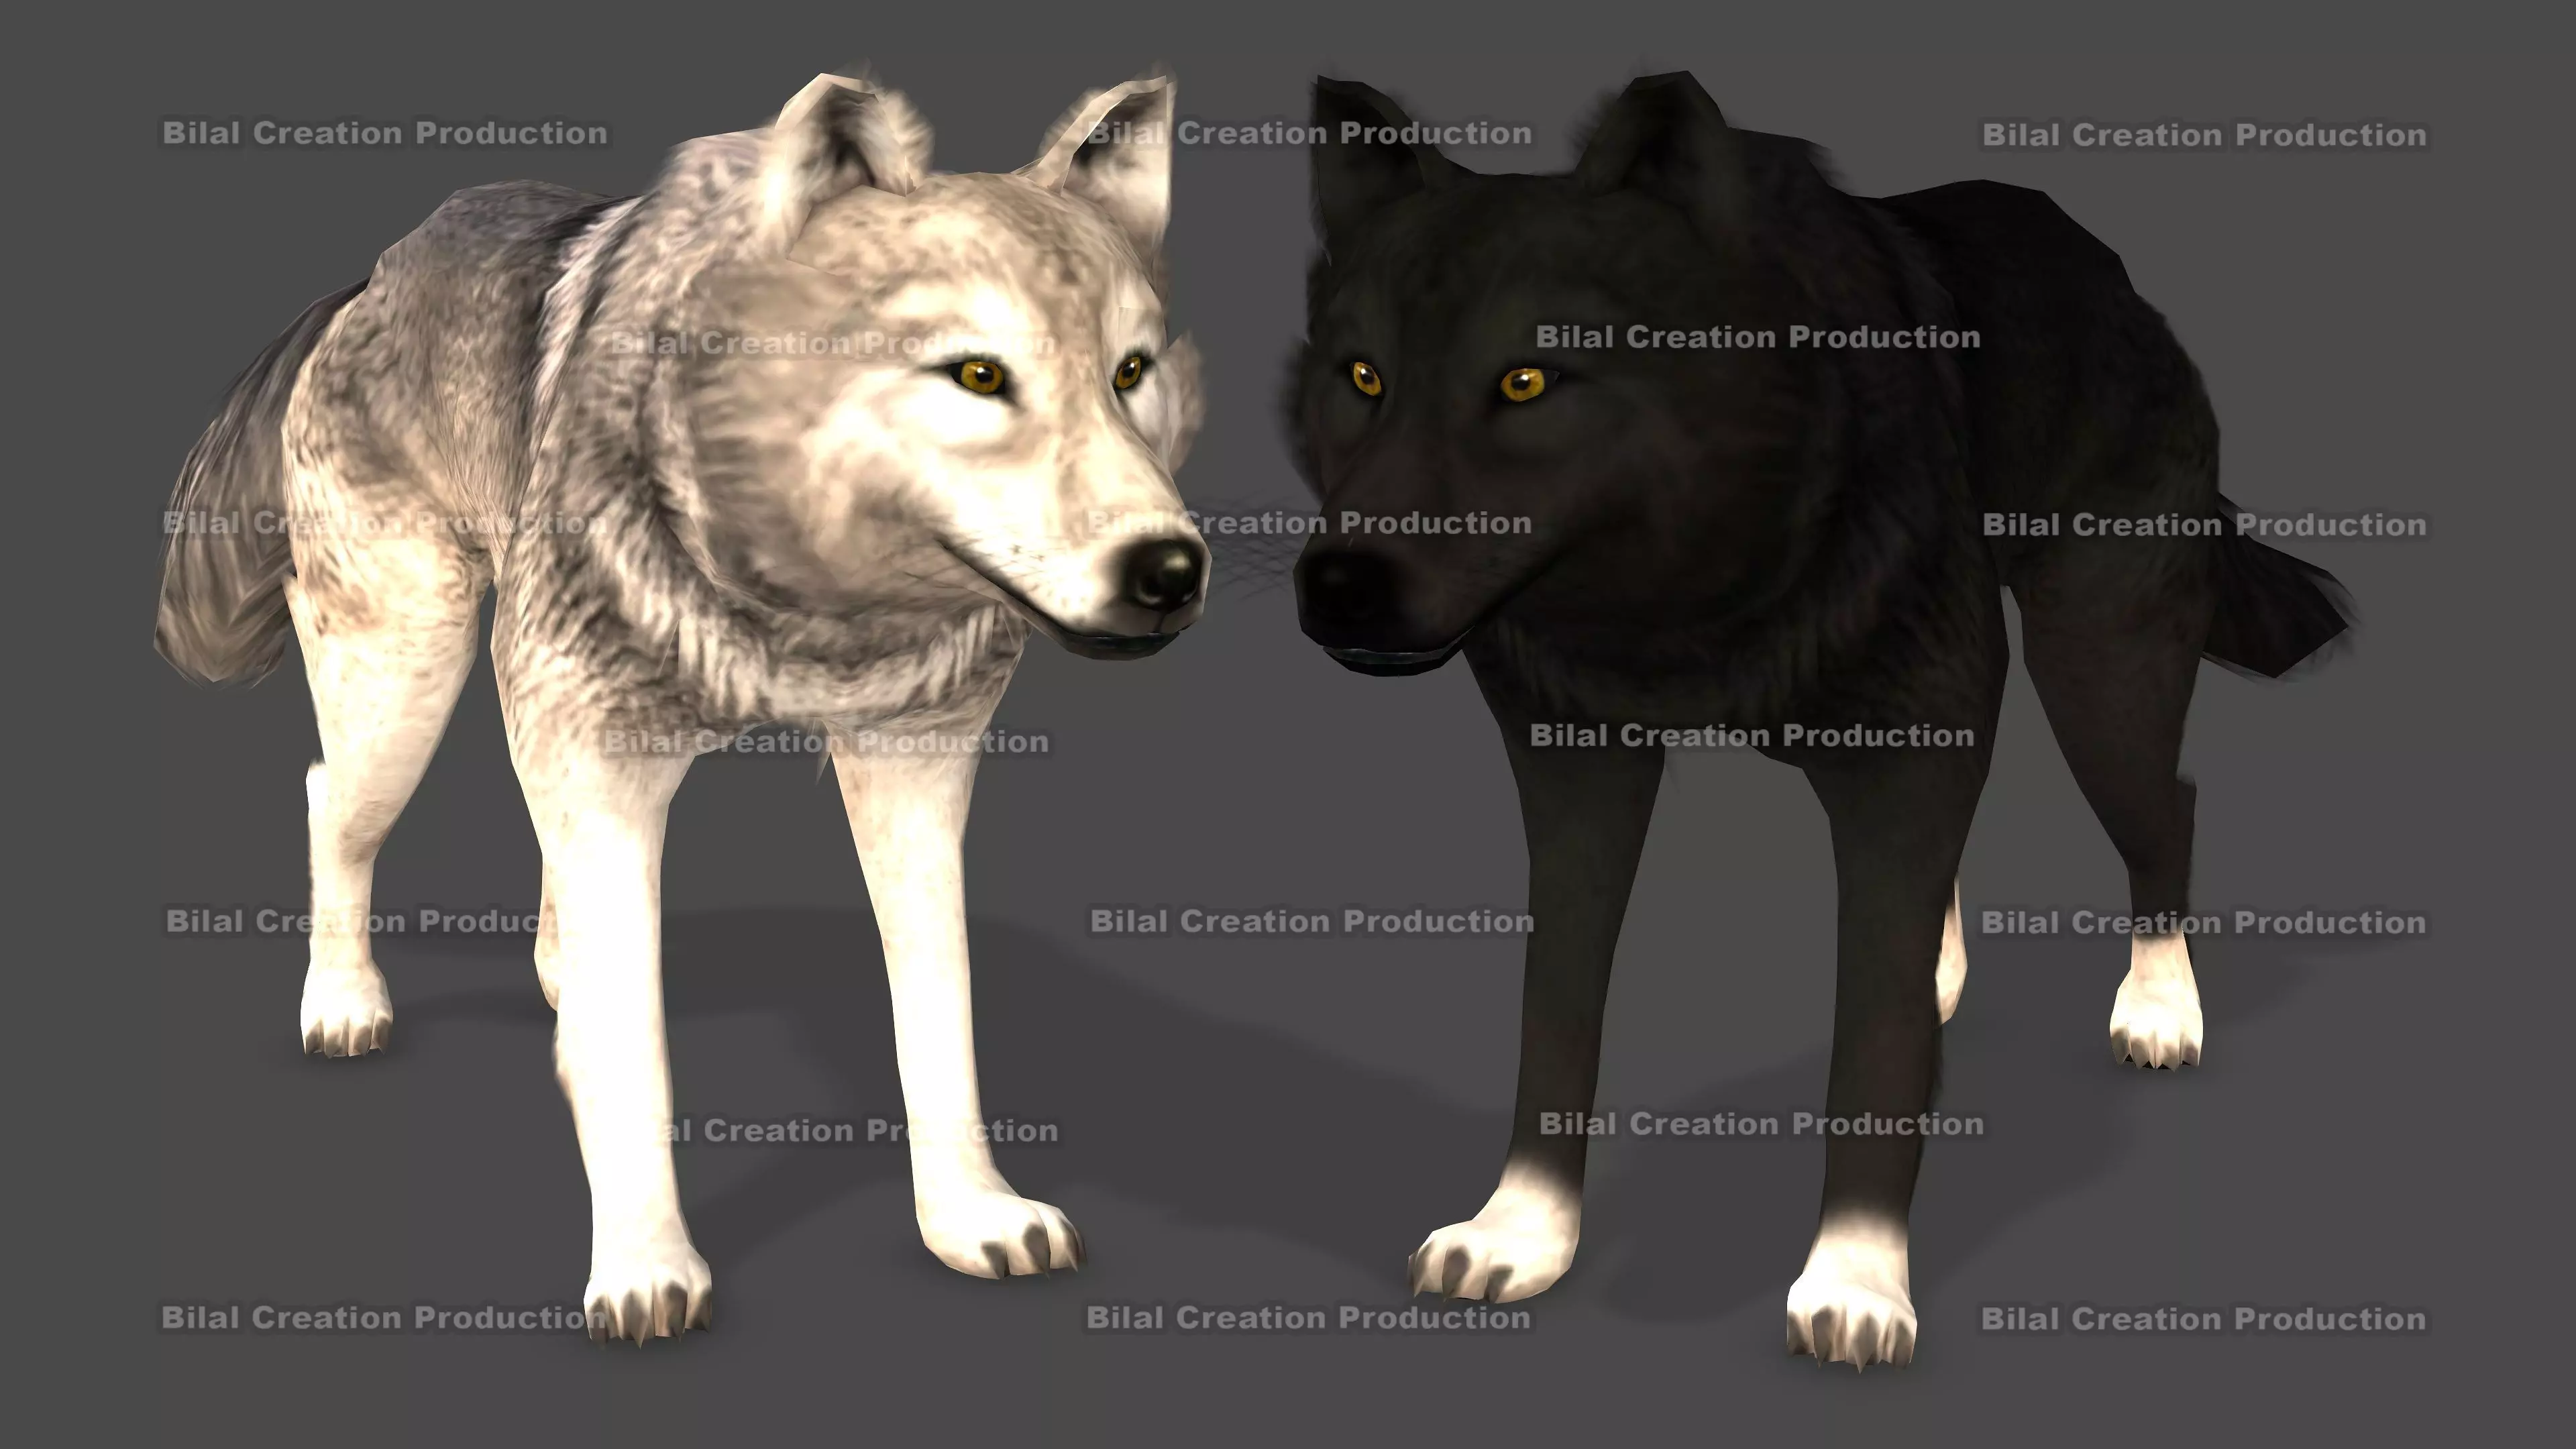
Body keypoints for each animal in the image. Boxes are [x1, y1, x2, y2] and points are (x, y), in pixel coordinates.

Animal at [155, 71, 1209, 1342]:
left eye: (1130, 373)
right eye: (977, 374)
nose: (1171, 570)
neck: (804, 609)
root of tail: (372, 275)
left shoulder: (913, 773)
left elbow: (939, 1014)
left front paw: (971, 1216)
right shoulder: (598, 753)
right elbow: (635, 1054)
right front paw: (645, 1270)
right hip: (406, 692)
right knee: (330, 803)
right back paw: (344, 1002)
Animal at [1286, 73, 2351, 1366]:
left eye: (1528, 381)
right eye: (1363, 378)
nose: (1337, 584)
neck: (1689, 599)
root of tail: (2102, 258)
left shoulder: (1906, 746)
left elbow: (1873, 1053)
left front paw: (1856, 1282)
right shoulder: (1579, 770)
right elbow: (1556, 1008)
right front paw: (1520, 1231)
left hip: (2097, 677)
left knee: (2169, 811)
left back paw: (2158, 1006)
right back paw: (1951, 970)